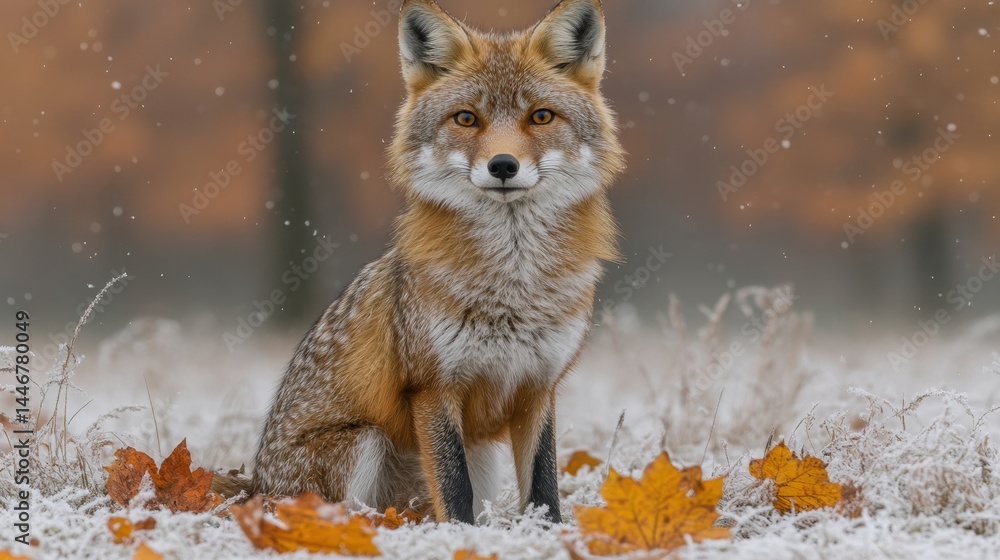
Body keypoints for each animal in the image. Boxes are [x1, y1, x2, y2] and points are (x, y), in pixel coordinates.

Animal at [230, 0, 625, 524]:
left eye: (540, 116)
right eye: (467, 118)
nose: (503, 165)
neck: (514, 288)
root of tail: (255, 486)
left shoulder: (539, 385)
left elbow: (544, 485)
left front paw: (549, 532)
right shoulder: (433, 385)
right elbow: (454, 489)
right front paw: (458, 535)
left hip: (481, 455)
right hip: (365, 442)